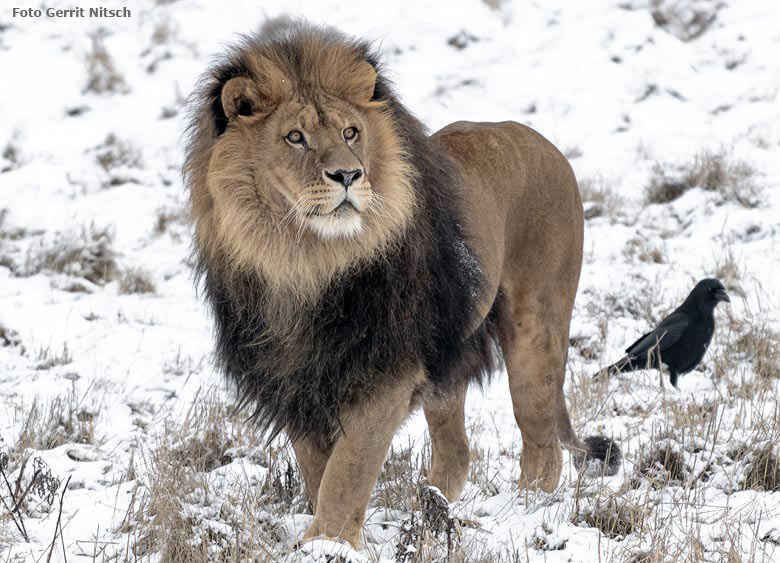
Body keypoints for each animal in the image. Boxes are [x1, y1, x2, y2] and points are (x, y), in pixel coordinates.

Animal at [184, 18, 620, 552]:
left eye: (351, 132)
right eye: (294, 137)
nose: (348, 174)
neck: (301, 260)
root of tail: (540, 140)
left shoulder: (385, 371)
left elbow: (348, 470)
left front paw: (328, 544)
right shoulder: (297, 378)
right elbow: (318, 469)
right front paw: (325, 537)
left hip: (536, 332)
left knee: (542, 444)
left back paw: (523, 512)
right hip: (447, 360)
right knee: (456, 451)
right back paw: (431, 510)